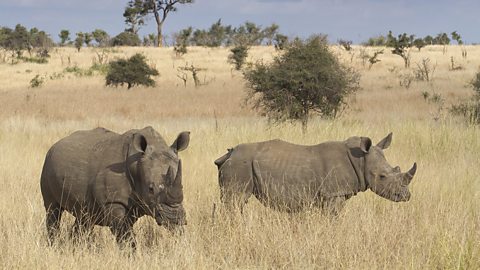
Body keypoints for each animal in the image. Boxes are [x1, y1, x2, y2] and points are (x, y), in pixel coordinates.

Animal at [39, 126, 189, 247]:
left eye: (182, 186)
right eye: (151, 189)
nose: (175, 218)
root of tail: (55, 144)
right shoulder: (113, 201)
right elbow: (125, 234)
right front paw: (131, 255)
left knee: (84, 218)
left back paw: (74, 248)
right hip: (47, 165)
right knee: (53, 210)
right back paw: (54, 245)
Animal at [214, 132, 416, 214]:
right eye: (382, 177)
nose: (406, 196)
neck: (361, 160)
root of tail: (230, 153)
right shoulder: (334, 194)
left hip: (239, 165)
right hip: (240, 166)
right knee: (235, 201)